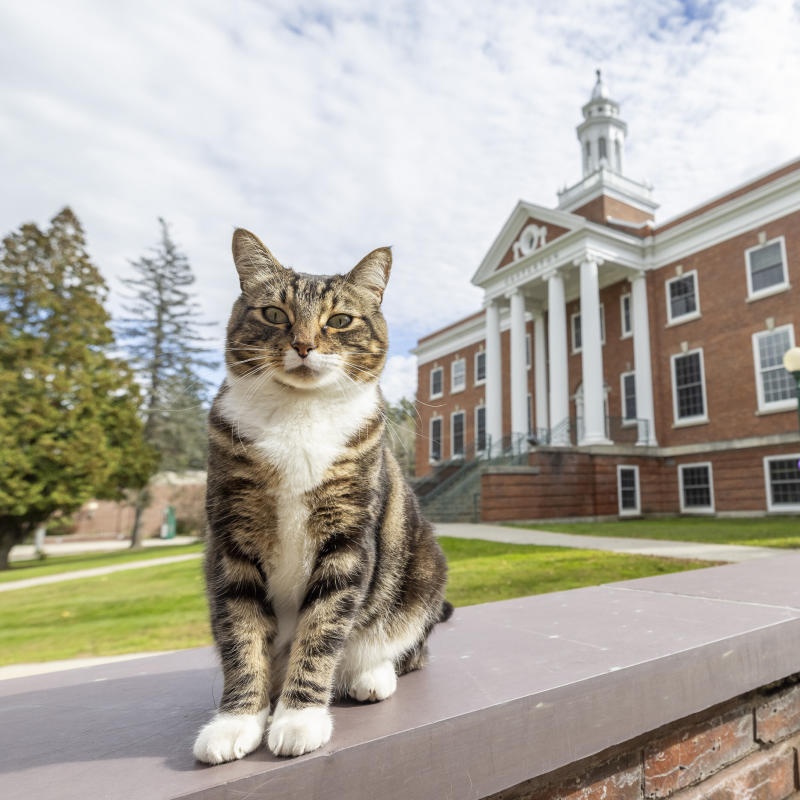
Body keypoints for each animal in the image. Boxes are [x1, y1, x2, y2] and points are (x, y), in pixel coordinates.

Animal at [189, 230, 450, 764]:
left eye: (340, 320)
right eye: (274, 313)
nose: (304, 345)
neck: (298, 414)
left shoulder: (347, 537)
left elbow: (323, 628)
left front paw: (298, 717)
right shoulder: (231, 539)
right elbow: (241, 633)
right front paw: (236, 721)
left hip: (424, 569)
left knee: (408, 647)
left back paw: (370, 675)